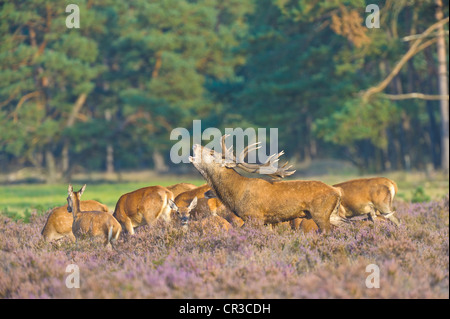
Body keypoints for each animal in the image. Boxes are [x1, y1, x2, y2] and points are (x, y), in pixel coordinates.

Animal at [189, 135, 342, 232]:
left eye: (211, 153)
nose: (195, 145)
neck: (236, 194)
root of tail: (337, 192)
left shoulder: (254, 216)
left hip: (321, 213)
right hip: (333, 214)